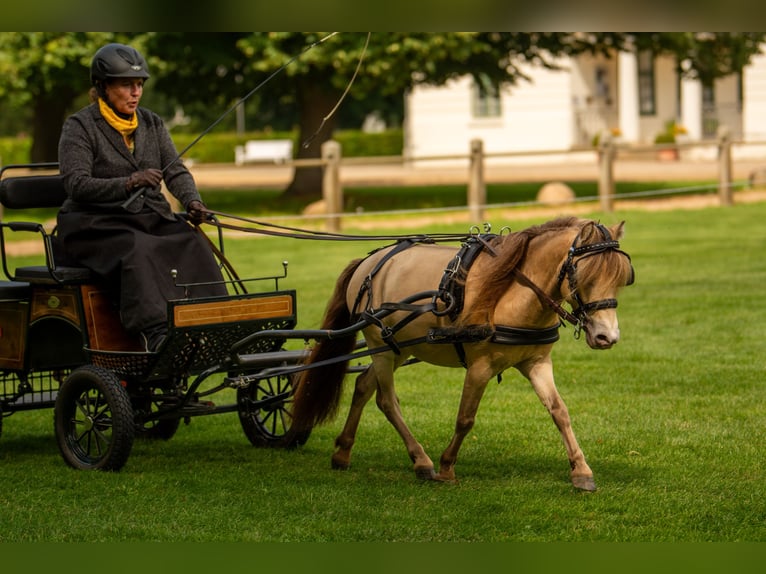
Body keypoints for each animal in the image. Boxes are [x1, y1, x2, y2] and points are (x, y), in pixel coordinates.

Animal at [289, 216, 634, 491]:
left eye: (622, 278)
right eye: (585, 276)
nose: (607, 336)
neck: (509, 292)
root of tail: (368, 262)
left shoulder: (536, 362)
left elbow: (560, 412)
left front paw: (581, 471)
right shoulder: (480, 367)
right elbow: (465, 418)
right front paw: (446, 467)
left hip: (397, 347)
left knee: (363, 387)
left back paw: (343, 452)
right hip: (381, 347)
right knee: (386, 400)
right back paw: (422, 461)